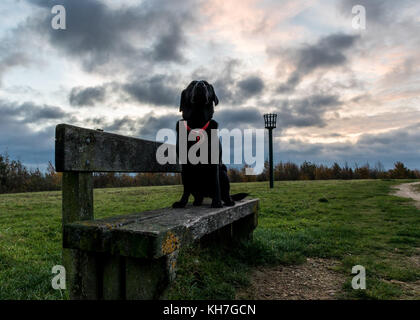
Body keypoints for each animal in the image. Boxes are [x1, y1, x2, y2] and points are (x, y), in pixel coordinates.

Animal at [172, 80, 248, 209]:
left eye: (207, 84)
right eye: (192, 84)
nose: (200, 84)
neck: (197, 122)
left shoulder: (214, 162)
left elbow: (215, 183)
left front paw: (217, 203)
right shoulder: (185, 165)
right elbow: (186, 186)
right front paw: (182, 202)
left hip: (223, 172)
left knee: (225, 193)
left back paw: (228, 201)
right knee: (197, 195)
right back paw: (197, 202)